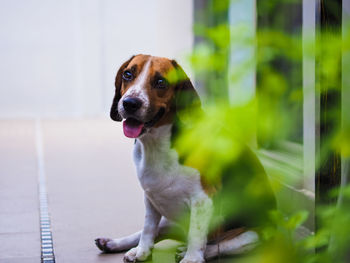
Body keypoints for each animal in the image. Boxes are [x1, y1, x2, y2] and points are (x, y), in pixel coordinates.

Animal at [95, 54, 276, 262]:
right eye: (128, 74)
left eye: (160, 82)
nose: (130, 103)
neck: (157, 145)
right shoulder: (150, 198)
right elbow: (148, 229)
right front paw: (142, 251)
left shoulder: (203, 199)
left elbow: (196, 236)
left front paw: (191, 258)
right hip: (169, 219)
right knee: (153, 232)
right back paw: (113, 243)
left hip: (253, 235)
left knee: (219, 245)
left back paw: (191, 250)